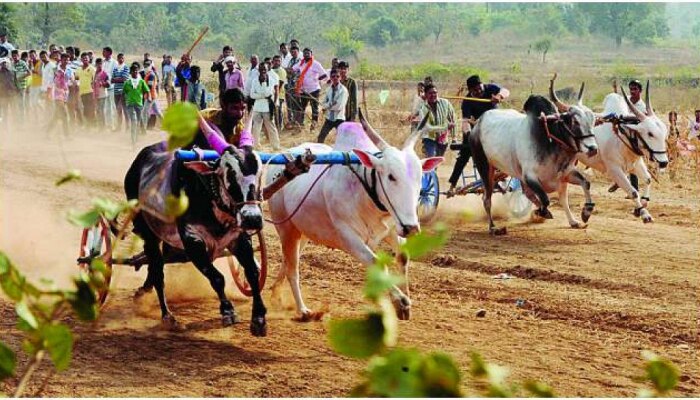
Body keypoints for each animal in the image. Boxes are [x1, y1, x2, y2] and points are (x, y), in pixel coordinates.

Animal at [268, 114, 442, 320]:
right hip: (285, 228)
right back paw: (302, 309)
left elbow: (403, 258)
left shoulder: (392, 229)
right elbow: (377, 263)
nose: (412, 228)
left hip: (301, 232)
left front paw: (403, 304)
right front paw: (400, 301)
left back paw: (276, 294)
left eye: (419, 177)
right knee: (292, 269)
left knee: (287, 261)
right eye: (391, 176)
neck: (366, 193)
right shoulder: (349, 239)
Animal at [576, 80, 668, 222]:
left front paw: (643, 205)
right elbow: (633, 192)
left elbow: (648, 179)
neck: (622, 139)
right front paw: (643, 213)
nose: (664, 162)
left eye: (664, 132)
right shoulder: (614, 170)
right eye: (650, 133)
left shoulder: (636, 164)